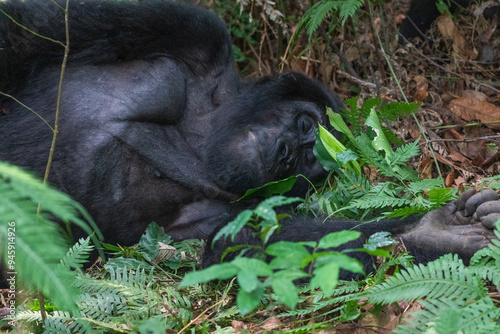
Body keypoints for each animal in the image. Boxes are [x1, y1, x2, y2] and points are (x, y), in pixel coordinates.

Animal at [0, 0, 498, 280]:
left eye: (313, 163)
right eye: (307, 128)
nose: (290, 153)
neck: (201, 136)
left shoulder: (227, 210)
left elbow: (242, 245)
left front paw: (436, 234)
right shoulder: (196, 32)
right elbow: (26, 27)